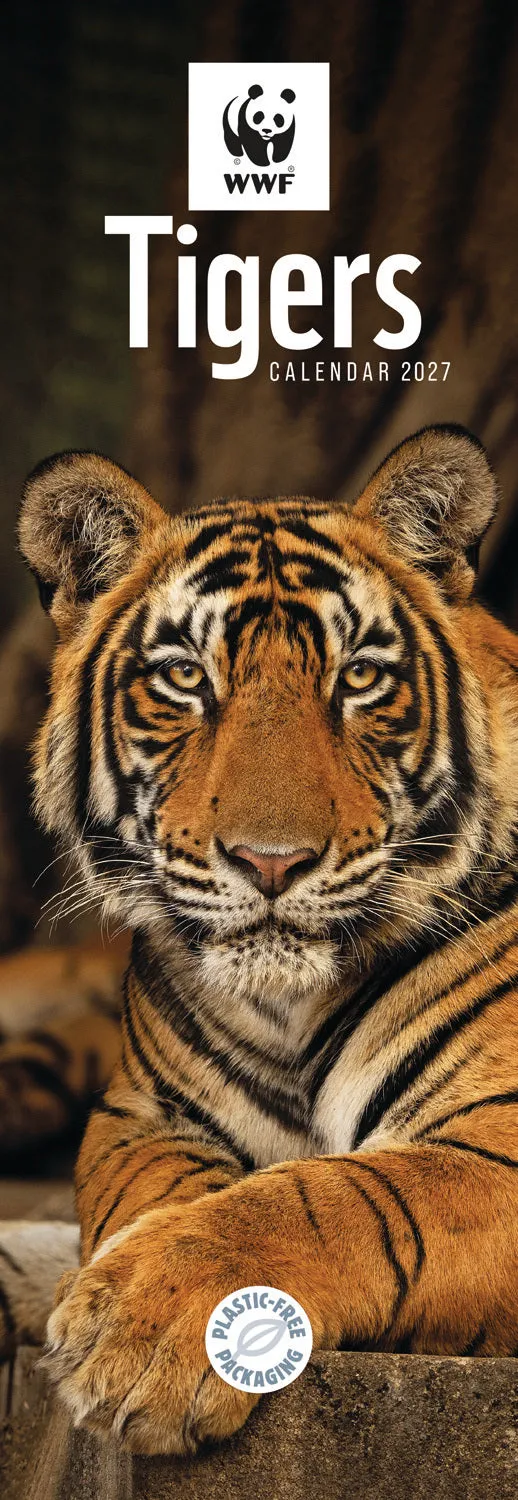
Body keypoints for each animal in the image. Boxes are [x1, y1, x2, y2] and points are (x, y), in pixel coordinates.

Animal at [3, 422, 518, 1456]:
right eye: (184, 679)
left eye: (359, 678)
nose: (270, 862)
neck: (293, 1008)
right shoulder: (139, 1114)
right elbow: (157, 1190)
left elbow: (343, 1199)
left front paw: (142, 1318)